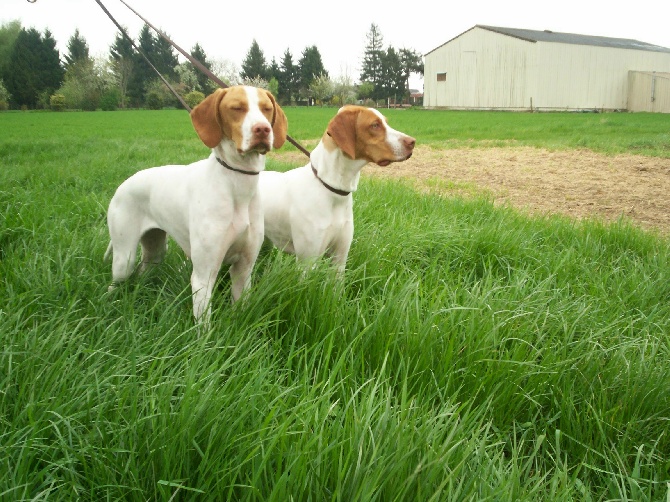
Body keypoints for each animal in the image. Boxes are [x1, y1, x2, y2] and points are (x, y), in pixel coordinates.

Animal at [103, 85, 288, 324]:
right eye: (236, 108)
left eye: (266, 109)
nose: (263, 129)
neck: (237, 187)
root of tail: (123, 184)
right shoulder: (203, 275)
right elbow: (204, 327)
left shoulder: (244, 268)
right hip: (123, 258)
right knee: (115, 283)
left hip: (155, 250)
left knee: (144, 271)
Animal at [258, 104, 412, 272]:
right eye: (375, 125)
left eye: (385, 122)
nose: (413, 142)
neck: (332, 190)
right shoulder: (307, 262)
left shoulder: (339, 259)